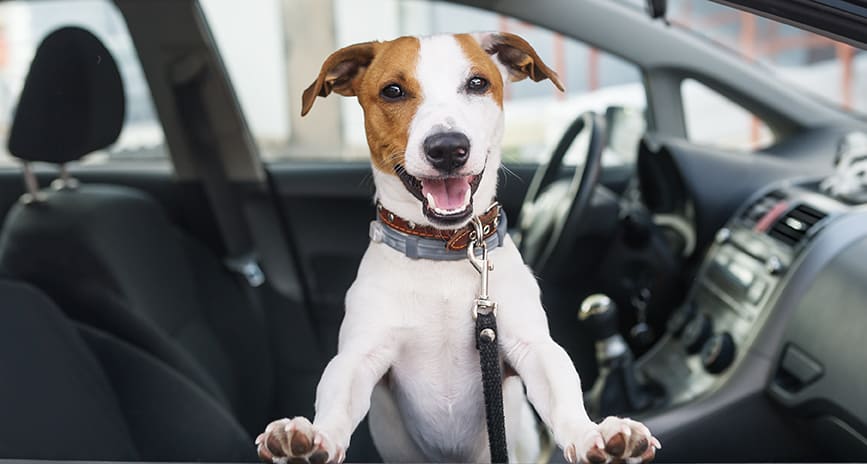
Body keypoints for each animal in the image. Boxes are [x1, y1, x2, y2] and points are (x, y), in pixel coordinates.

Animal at [254, 33, 660, 464]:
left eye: (477, 83)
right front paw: (311, 440)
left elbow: (562, 389)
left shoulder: (530, 347)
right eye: (393, 91)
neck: (443, 250)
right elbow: (336, 397)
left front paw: (592, 435)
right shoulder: (359, 356)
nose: (448, 147)